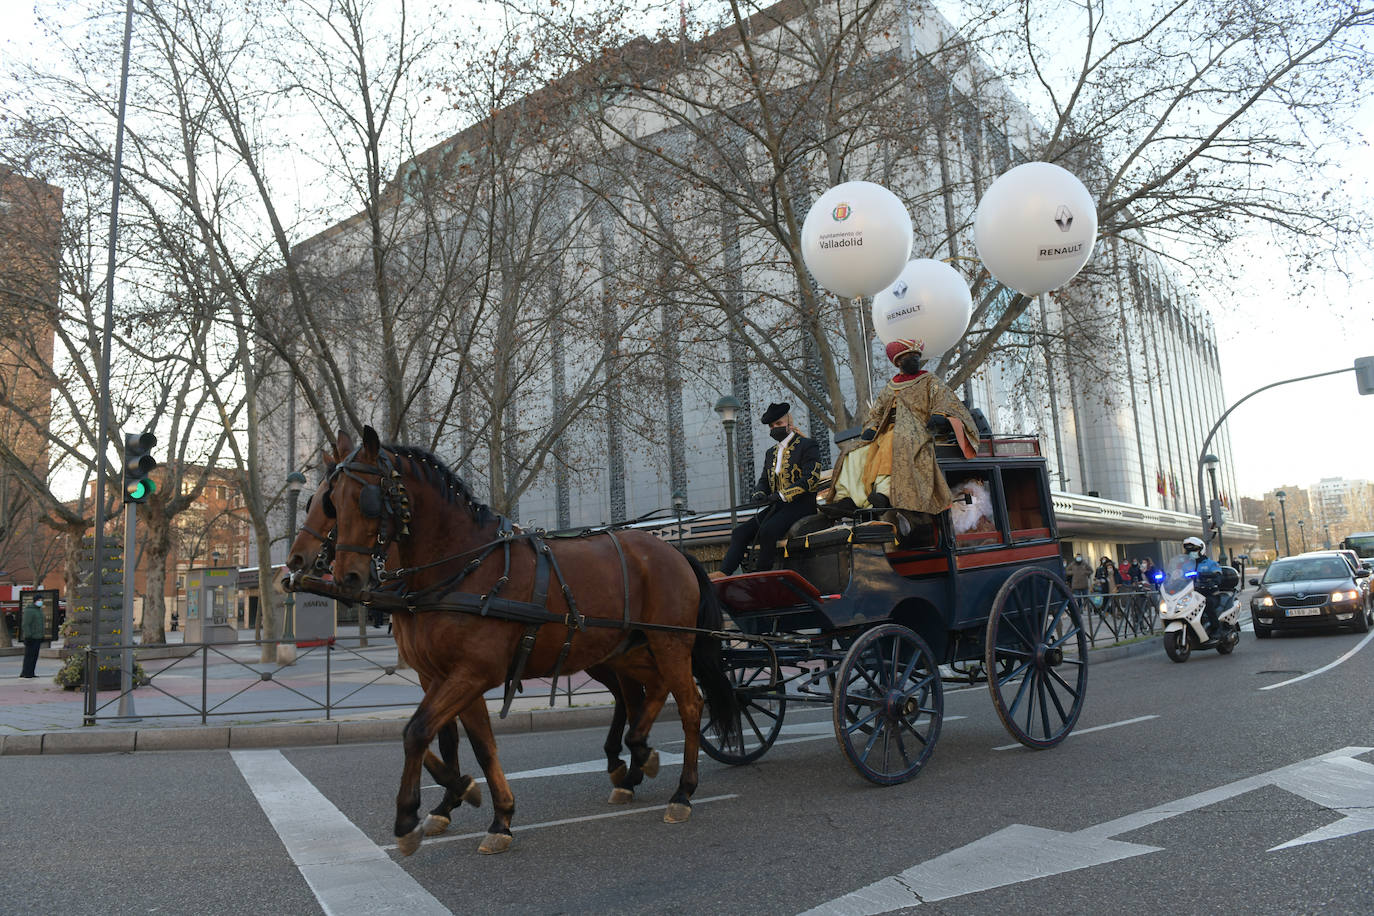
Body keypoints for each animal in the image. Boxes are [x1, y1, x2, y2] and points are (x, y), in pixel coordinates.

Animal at [283, 455, 654, 840]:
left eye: (333, 506)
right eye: (318, 503)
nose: (295, 561)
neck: (456, 571)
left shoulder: (469, 672)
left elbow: (450, 736)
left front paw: (462, 799)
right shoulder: (436, 673)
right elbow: (448, 737)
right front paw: (453, 797)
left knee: (644, 694)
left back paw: (633, 762)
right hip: (606, 655)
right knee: (630, 697)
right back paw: (627, 764)